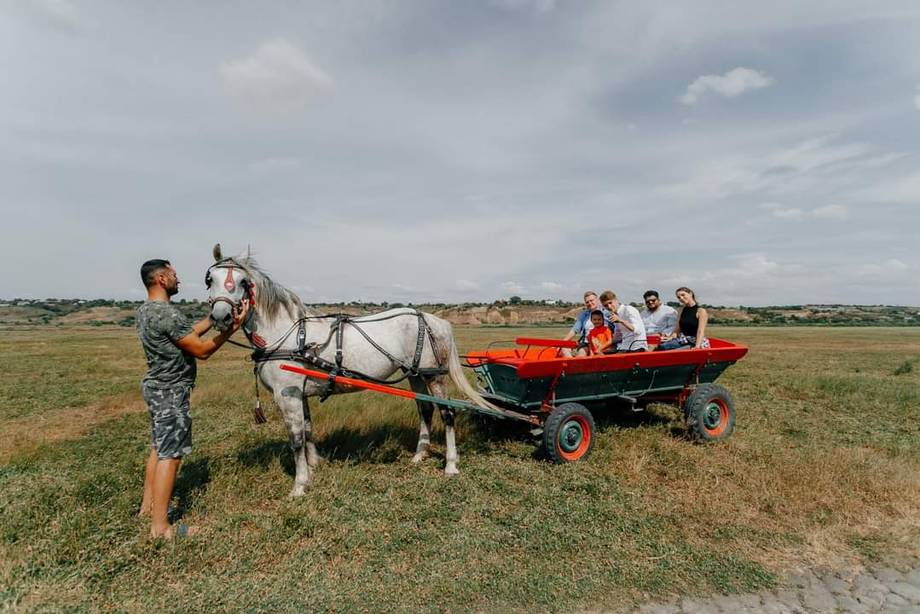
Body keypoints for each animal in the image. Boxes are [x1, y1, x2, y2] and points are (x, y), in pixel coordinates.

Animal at [205, 245, 495, 497]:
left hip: (433, 374)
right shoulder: (299, 393)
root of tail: (435, 320)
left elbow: (296, 438)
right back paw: (419, 455)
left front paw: (299, 485)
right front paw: (313, 467)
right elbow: (307, 430)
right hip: (414, 373)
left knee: (447, 413)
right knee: (425, 409)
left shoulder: (287, 394)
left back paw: (451, 465)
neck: (288, 334)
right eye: (210, 280)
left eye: (243, 282)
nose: (220, 317)